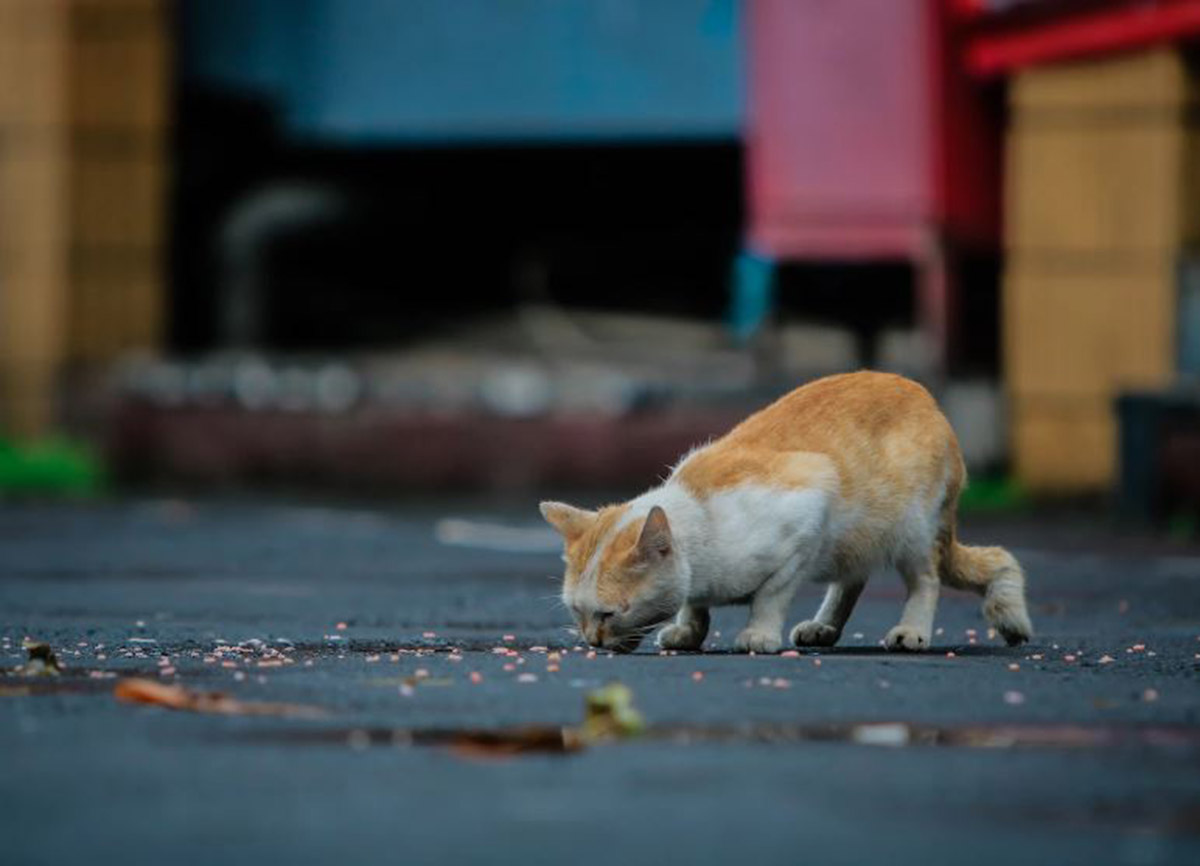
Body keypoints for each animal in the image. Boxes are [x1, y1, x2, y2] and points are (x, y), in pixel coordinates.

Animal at [542, 367, 1032, 652]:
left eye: (608, 613)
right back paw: (824, 627)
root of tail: (925, 396)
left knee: (927, 579)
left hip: (910, 529)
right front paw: (689, 628)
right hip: (859, 541)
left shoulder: (811, 504)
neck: (701, 518)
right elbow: (695, 604)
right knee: (853, 580)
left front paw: (758, 634)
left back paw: (912, 630)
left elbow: (771, 594)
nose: (592, 641)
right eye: (576, 612)